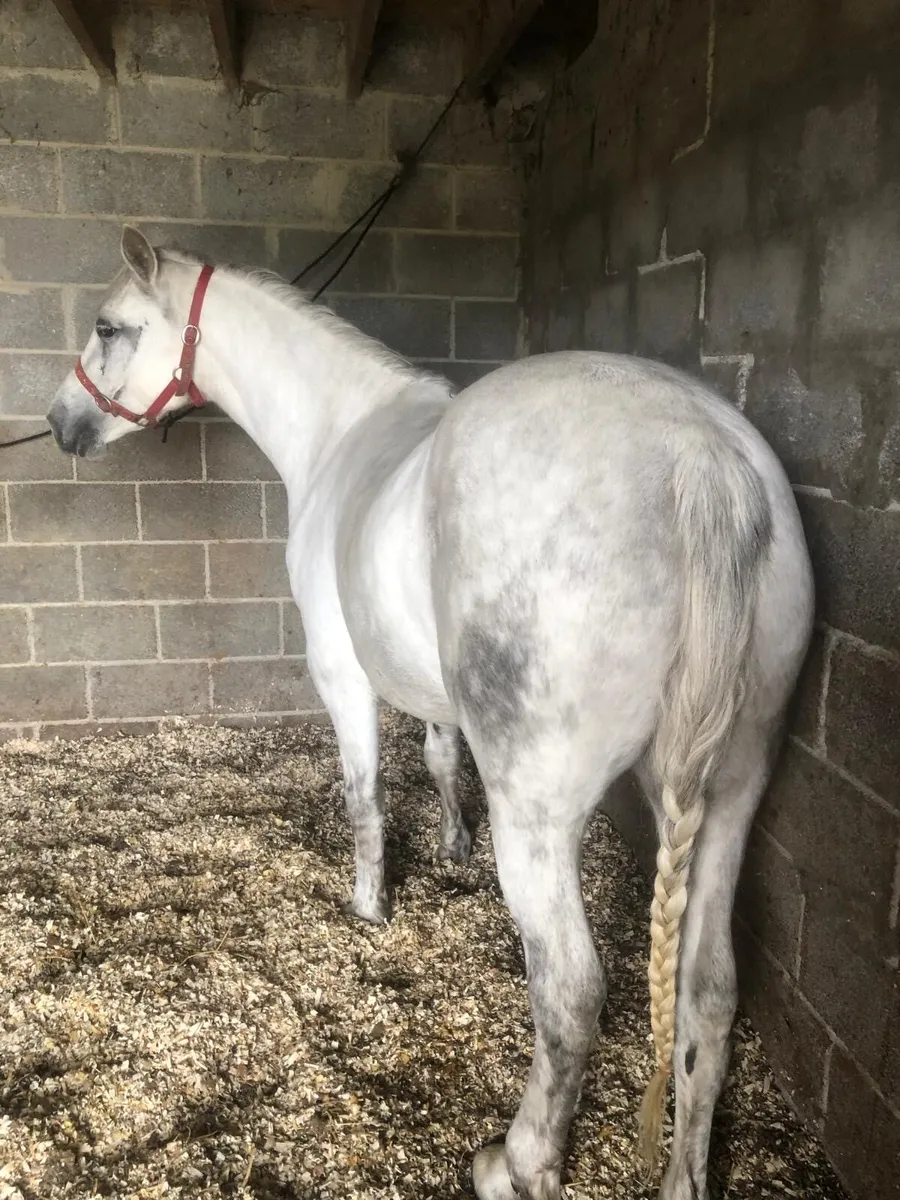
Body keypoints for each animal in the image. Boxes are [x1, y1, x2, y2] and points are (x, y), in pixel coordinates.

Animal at [46, 227, 814, 1200]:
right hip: (730, 795)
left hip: (544, 815)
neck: (343, 434)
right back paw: (682, 1173)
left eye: (110, 327)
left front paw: (370, 905)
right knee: (708, 992)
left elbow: (365, 795)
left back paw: (516, 1162)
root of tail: (700, 459)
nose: (62, 423)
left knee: (569, 992)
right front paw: (451, 847)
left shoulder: (341, 671)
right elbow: (443, 760)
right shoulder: (429, 686)